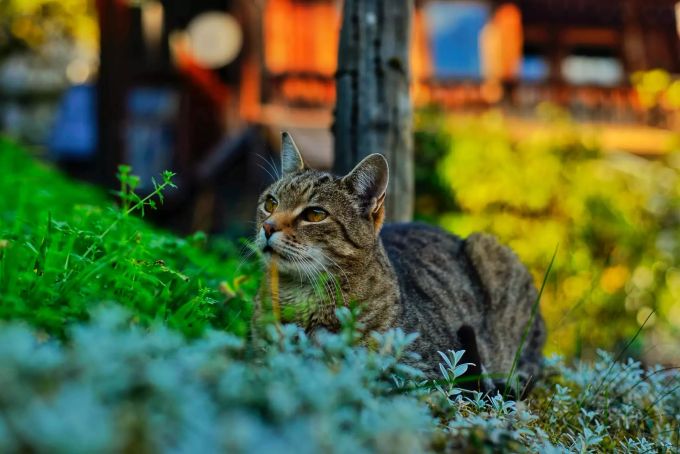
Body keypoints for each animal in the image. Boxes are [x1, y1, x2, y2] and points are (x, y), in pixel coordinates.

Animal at [252, 132, 544, 398]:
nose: (268, 227)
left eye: (315, 214)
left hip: (487, 247)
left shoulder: (422, 373)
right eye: (271, 203)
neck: (301, 298)